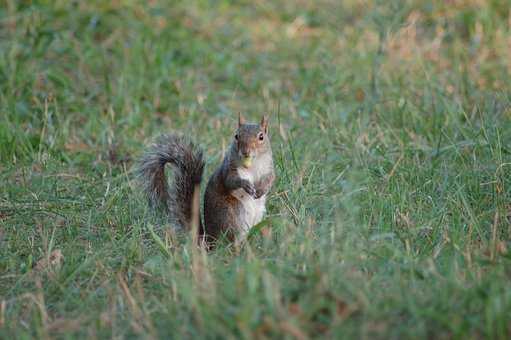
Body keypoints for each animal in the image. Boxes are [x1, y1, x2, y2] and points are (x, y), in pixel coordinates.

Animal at [138, 115, 276, 246]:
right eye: (236, 136)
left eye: (261, 137)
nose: (245, 152)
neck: (253, 164)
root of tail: (209, 240)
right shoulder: (229, 169)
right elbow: (230, 181)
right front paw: (246, 185)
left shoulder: (268, 168)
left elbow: (270, 179)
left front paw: (262, 190)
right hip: (232, 214)